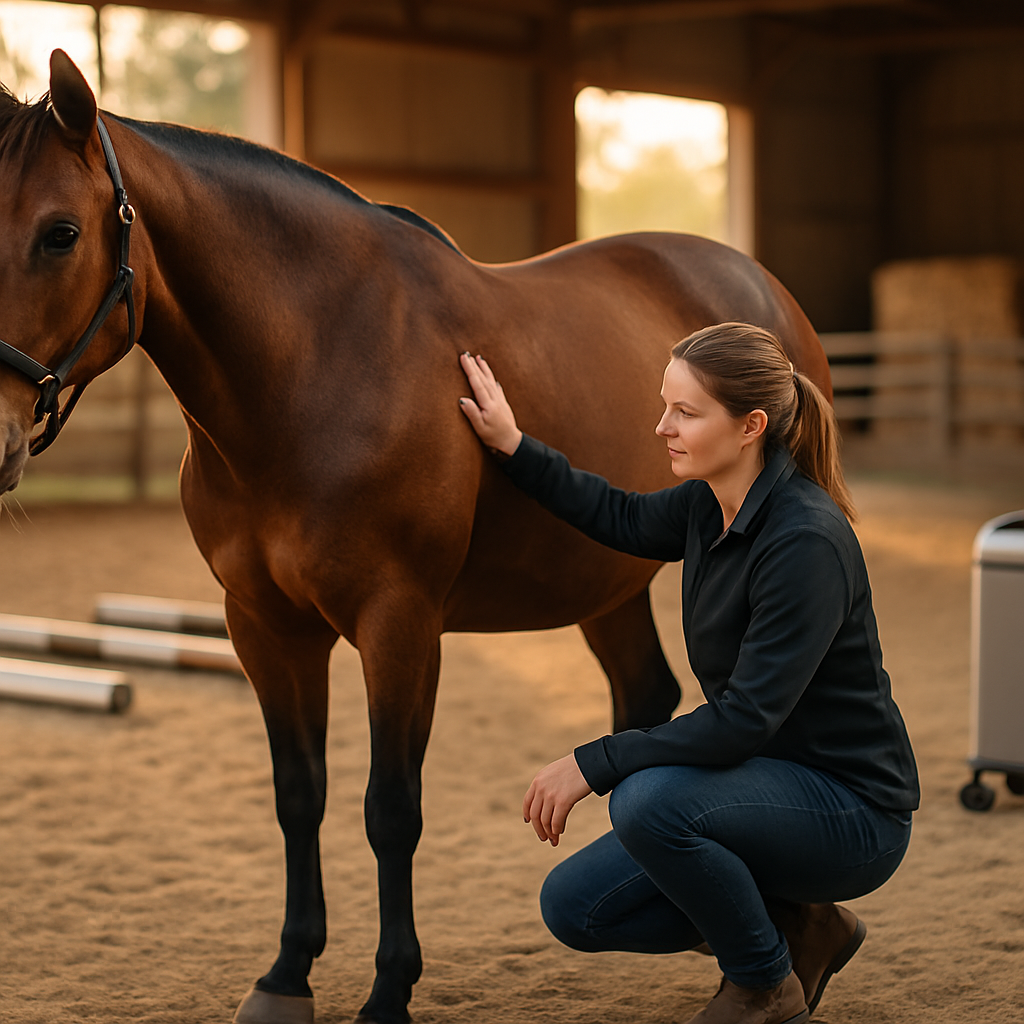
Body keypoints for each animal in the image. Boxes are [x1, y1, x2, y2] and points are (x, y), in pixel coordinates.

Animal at [0, 50, 831, 1024]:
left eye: (60, 234)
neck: (314, 364)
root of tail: (755, 283)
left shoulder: (399, 626)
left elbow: (390, 809)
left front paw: (388, 990)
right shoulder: (264, 627)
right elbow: (299, 796)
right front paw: (285, 976)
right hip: (605, 582)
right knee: (646, 698)